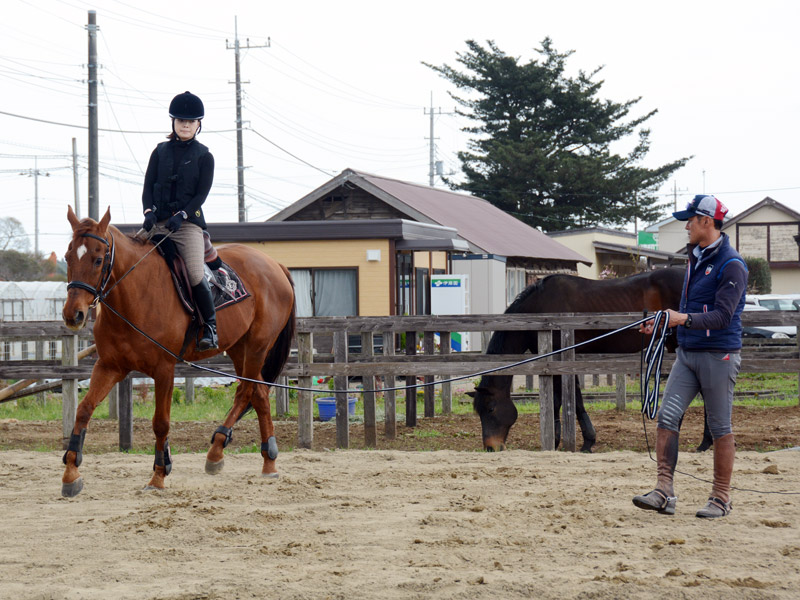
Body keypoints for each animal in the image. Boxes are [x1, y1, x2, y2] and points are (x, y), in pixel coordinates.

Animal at [60, 206, 296, 496]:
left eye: (97, 260)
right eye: (68, 257)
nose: (73, 315)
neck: (135, 295)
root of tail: (275, 265)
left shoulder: (164, 369)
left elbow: (160, 422)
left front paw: (159, 475)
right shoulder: (109, 366)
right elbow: (84, 410)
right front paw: (71, 473)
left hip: (257, 347)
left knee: (247, 391)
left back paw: (232, 453)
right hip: (239, 348)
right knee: (258, 393)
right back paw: (257, 460)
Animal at [468, 268, 680, 450]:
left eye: (491, 409)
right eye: (479, 412)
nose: (490, 447)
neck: (538, 309)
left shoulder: (561, 360)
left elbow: (570, 401)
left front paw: (582, 442)